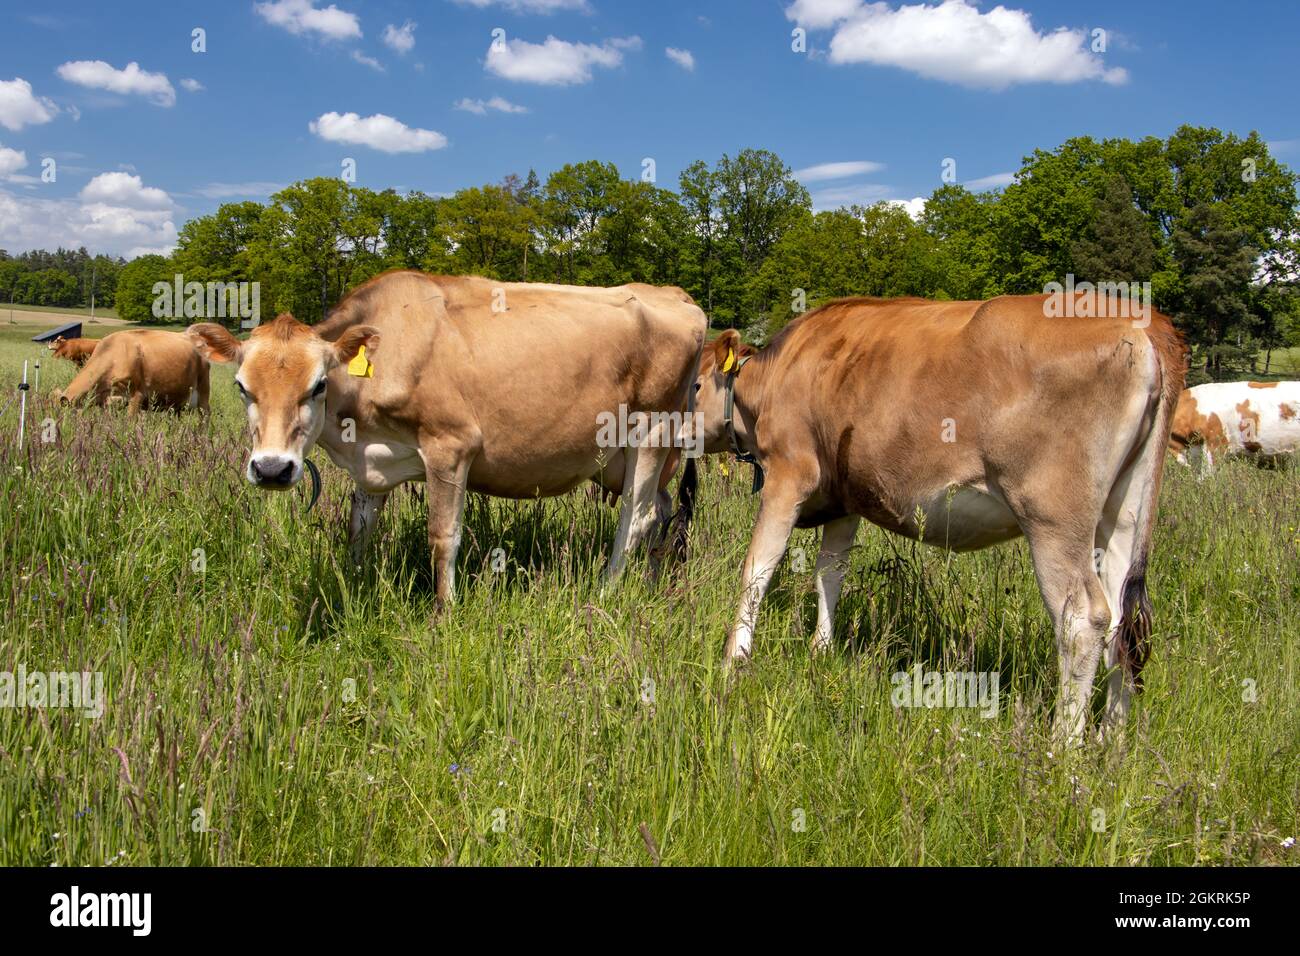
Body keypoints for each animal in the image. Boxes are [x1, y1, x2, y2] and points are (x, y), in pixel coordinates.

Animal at [188, 269, 707, 598]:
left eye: (317, 385)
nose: (272, 469)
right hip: (633, 456)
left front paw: (444, 612)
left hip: (652, 431)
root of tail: (674, 294)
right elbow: (358, 530)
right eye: (241, 387)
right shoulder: (371, 465)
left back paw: (606, 592)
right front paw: (354, 587)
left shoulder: (451, 446)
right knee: (662, 511)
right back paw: (652, 582)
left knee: (636, 517)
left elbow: (443, 536)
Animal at [696, 293, 1185, 749]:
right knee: (1123, 622)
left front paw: (733, 661)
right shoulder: (846, 498)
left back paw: (1061, 747)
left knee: (1084, 620)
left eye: (696, 383)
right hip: (1122, 515)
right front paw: (821, 650)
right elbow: (829, 574)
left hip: (1054, 517)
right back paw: (1111, 739)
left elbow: (757, 569)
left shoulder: (788, 474)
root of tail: (1143, 321)